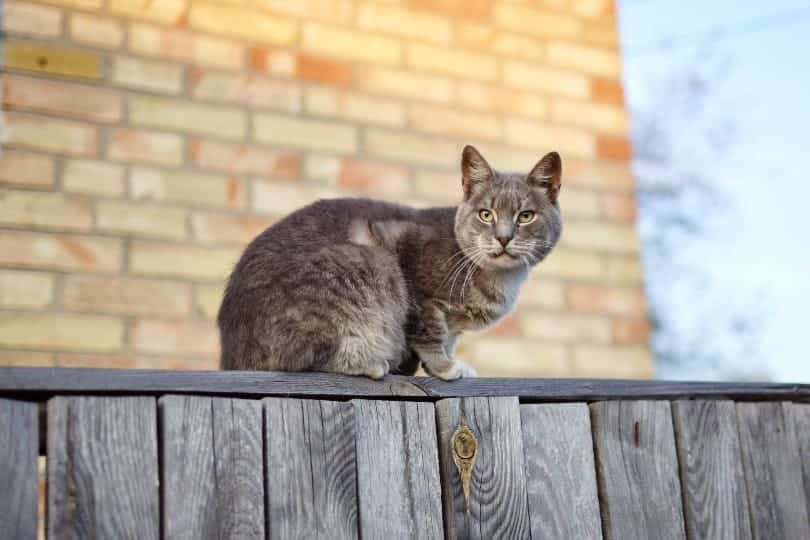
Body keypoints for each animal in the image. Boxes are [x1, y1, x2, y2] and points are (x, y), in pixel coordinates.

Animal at [221, 143, 560, 380]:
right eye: (486, 214)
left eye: (526, 216)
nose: (503, 238)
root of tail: (231, 350)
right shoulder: (412, 277)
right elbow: (430, 334)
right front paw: (446, 368)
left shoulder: (452, 324)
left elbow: (447, 339)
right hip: (368, 262)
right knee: (301, 358)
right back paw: (369, 362)